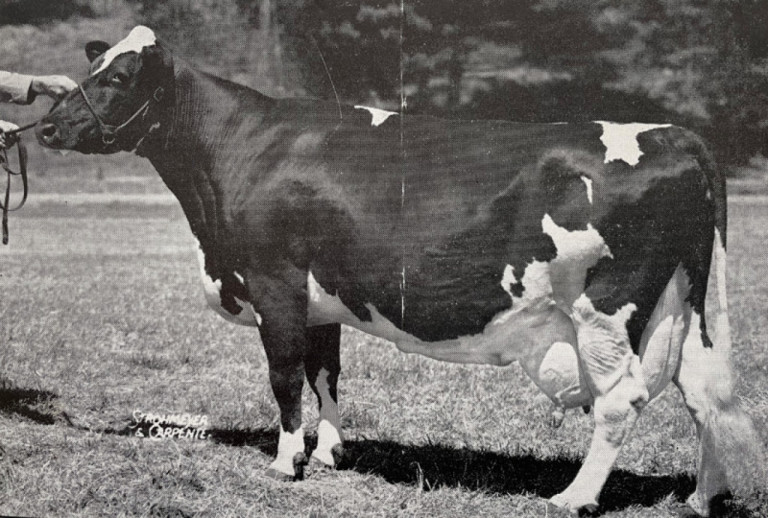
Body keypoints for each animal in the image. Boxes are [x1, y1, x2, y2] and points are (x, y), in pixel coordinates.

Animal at [36, 26, 760, 516]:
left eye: (117, 79)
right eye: (91, 69)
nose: (45, 127)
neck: (237, 154)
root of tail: (673, 133)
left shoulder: (274, 282)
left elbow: (284, 376)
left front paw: (285, 461)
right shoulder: (319, 293)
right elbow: (325, 371)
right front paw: (329, 451)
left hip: (603, 310)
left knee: (620, 400)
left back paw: (572, 496)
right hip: (685, 304)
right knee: (704, 396)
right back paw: (701, 498)